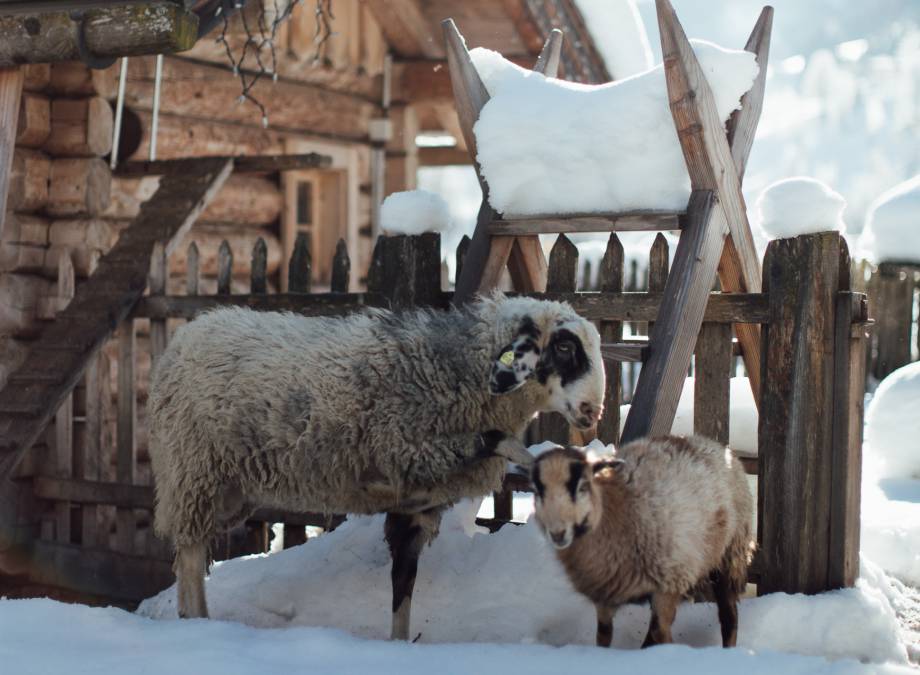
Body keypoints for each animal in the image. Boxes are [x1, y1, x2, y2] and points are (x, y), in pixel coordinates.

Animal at [147, 294, 608, 640]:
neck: (457, 367)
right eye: (564, 347)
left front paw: (398, 646)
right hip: (193, 474)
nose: (593, 411)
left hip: (227, 492)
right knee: (191, 558)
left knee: (193, 551)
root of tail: (184, 337)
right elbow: (500, 440)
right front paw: (555, 462)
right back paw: (197, 623)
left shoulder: (415, 507)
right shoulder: (414, 448)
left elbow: (402, 591)